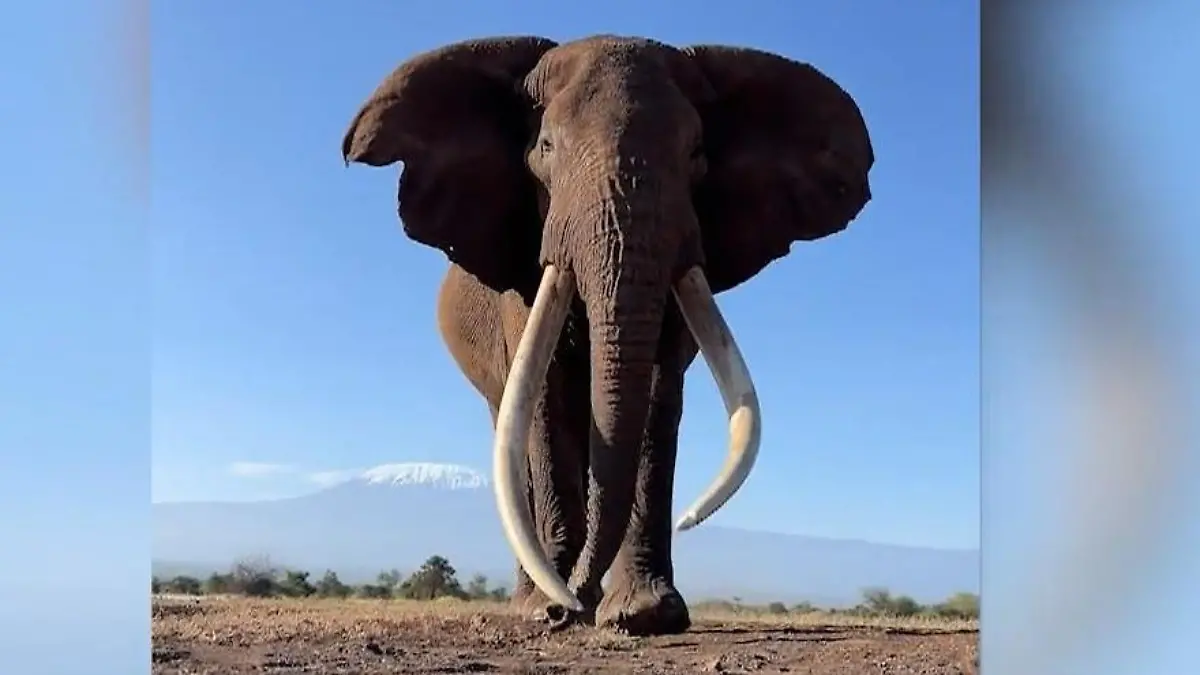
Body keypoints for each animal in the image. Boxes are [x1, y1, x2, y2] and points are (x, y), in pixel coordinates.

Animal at [341, 34, 874, 635]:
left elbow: (658, 397)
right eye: (546, 147)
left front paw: (644, 614)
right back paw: (537, 599)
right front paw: (551, 609)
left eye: (696, 154)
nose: (571, 604)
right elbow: (544, 400)